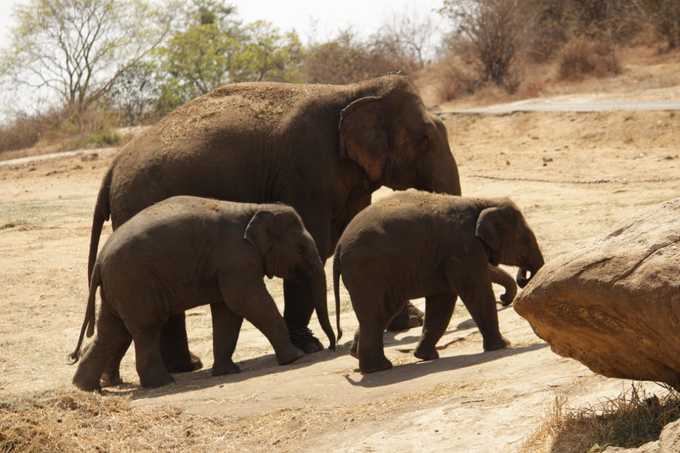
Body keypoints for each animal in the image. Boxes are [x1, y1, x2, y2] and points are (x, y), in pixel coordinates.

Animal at [69, 196, 334, 390]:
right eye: (300, 248)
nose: (331, 346)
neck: (255, 208)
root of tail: (99, 261)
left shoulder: (228, 266)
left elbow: (227, 312)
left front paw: (227, 372)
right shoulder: (237, 260)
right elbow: (248, 302)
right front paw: (295, 358)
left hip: (119, 288)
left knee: (112, 331)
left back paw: (85, 388)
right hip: (134, 283)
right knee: (146, 327)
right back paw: (161, 384)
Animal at [89, 74, 516, 370]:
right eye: (425, 138)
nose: (505, 298)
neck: (352, 90)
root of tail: (111, 169)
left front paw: (401, 322)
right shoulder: (305, 169)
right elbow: (317, 242)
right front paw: (309, 346)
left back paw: (186, 366)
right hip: (139, 202)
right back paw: (185, 367)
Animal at [332, 189, 544, 372]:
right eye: (525, 240)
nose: (504, 298)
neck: (482, 201)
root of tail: (339, 246)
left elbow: (442, 301)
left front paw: (425, 356)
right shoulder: (463, 249)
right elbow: (476, 292)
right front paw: (503, 345)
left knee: (381, 311)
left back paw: (359, 357)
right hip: (368, 271)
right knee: (377, 312)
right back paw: (379, 368)